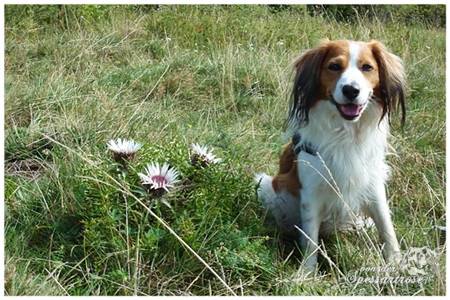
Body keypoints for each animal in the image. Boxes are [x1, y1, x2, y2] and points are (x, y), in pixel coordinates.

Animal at [256, 38, 408, 270]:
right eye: (334, 66)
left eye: (367, 68)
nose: (351, 90)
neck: (347, 133)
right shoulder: (311, 193)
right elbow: (310, 238)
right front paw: (307, 272)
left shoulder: (373, 182)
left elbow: (386, 224)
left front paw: (395, 261)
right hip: (267, 185)